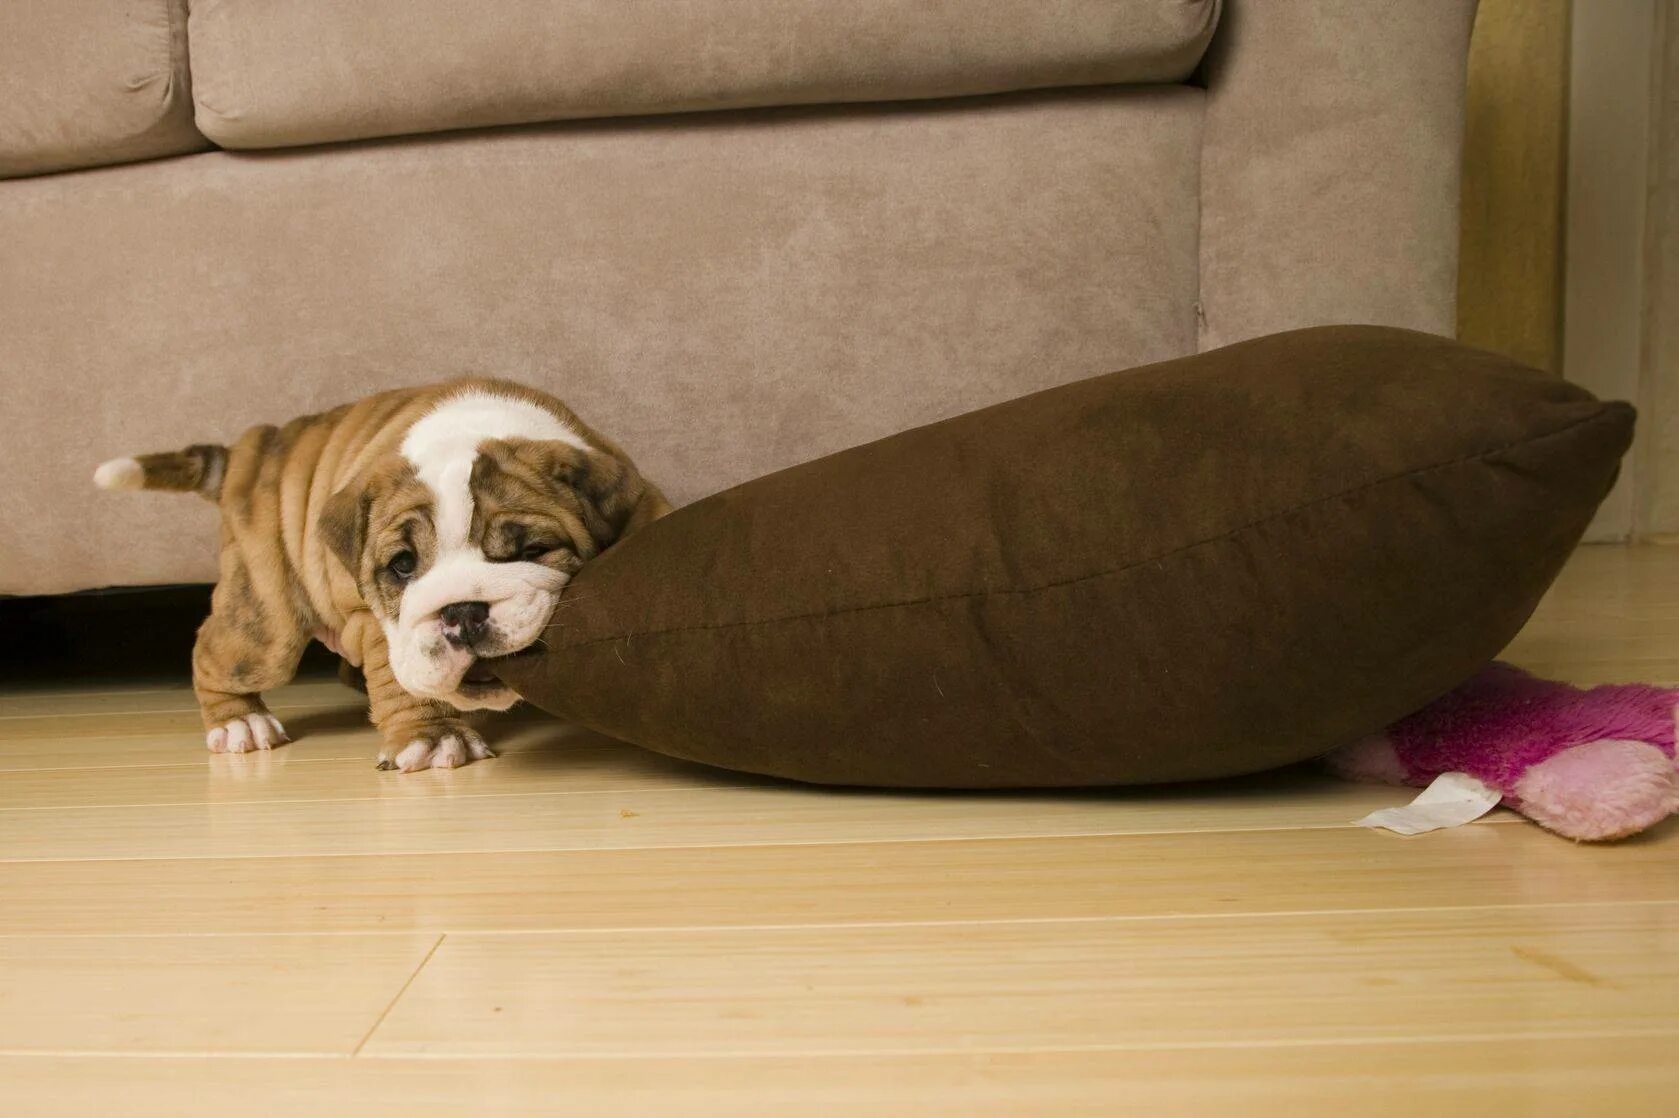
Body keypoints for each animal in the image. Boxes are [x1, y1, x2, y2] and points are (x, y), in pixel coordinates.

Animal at [93, 379, 668, 772]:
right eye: (402, 566)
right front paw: (433, 737)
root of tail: (254, 449)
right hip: (266, 621)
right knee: (218, 653)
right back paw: (239, 723)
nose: (462, 612)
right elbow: (398, 677)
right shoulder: (368, 616)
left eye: (532, 550)